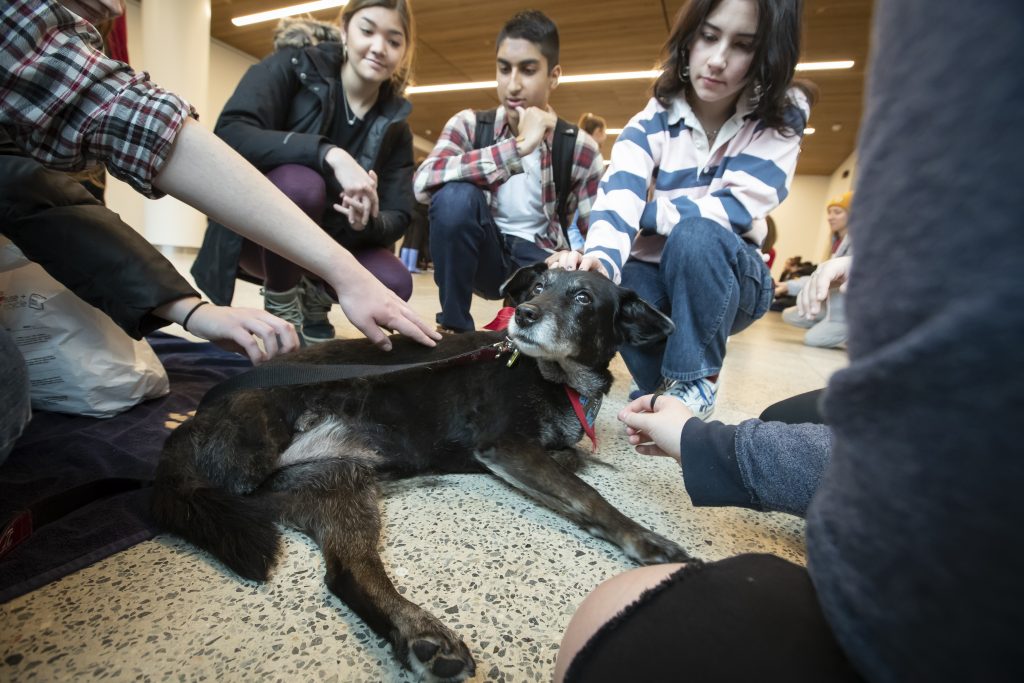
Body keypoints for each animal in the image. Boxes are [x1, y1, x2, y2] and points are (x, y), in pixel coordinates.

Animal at [151, 264, 692, 679]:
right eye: (538, 287)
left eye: (582, 296)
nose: (524, 315)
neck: (553, 376)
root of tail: (192, 425)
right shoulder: (504, 446)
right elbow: (587, 494)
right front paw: (645, 541)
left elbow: (572, 470)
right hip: (258, 455)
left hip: (337, 483)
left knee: (348, 572)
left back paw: (421, 637)